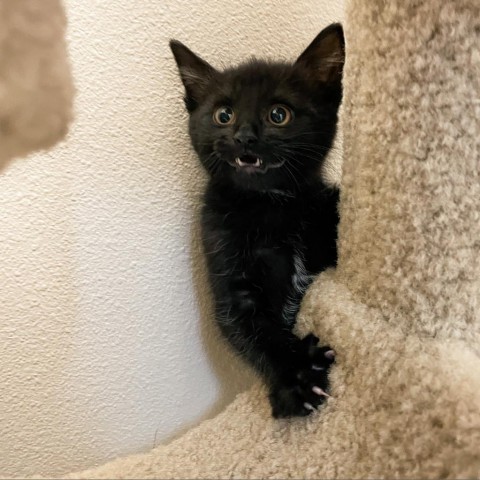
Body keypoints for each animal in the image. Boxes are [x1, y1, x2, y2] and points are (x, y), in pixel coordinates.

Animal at [171, 24, 344, 418]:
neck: (271, 206)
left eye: (278, 115)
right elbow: (253, 331)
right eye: (223, 115)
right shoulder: (225, 259)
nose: (244, 137)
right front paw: (297, 379)